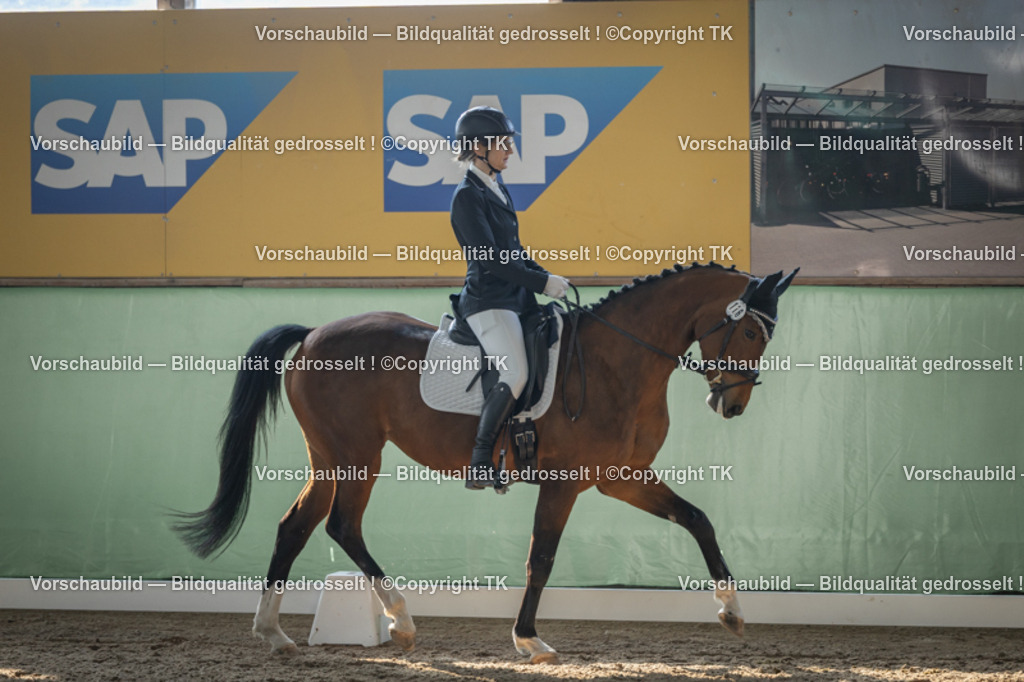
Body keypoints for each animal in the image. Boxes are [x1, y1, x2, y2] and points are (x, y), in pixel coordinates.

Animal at [173, 262, 798, 664]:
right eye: (748, 329)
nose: (732, 405)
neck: (616, 361)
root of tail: (311, 335)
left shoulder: (621, 479)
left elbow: (697, 519)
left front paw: (731, 612)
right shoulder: (565, 483)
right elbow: (540, 558)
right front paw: (528, 639)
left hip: (329, 457)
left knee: (296, 526)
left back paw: (274, 634)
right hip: (357, 455)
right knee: (341, 526)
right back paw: (400, 621)